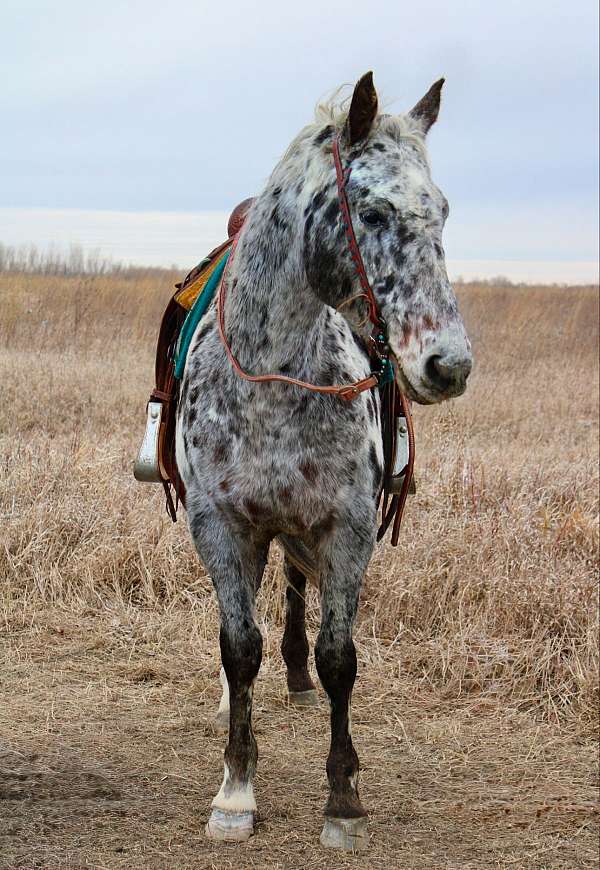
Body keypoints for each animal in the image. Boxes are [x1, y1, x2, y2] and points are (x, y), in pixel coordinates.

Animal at [173, 73, 474, 852]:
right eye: (371, 210)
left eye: (442, 211)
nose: (449, 364)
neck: (273, 380)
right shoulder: (220, 525)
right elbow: (238, 646)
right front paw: (236, 791)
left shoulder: (346, 527)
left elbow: (341, 659)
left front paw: (342, 798)